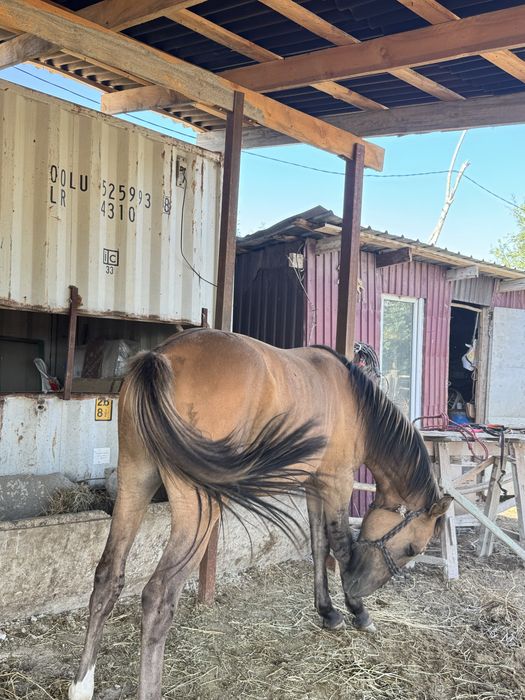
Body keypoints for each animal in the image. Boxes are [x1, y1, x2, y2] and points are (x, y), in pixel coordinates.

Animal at [69, 328, 451, 700]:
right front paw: (357, 609)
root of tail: (161, 356)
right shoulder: (337, 482)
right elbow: (341, 545)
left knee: (107, 577)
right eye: (413, 549)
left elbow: (318, 547)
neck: (353, 400)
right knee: (159, 596)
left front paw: (328, 611)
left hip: (135, 480)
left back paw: (82, 684)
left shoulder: (313, 484)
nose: (359, 586)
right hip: (198, 510)